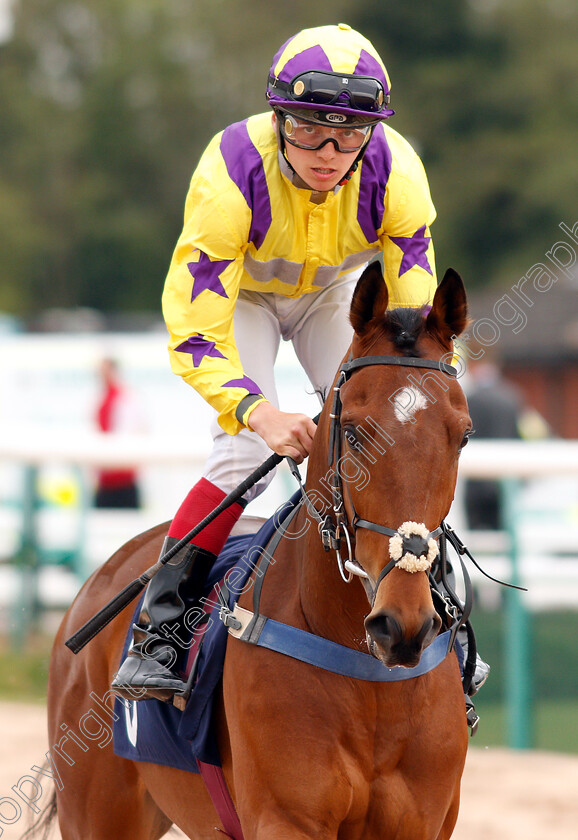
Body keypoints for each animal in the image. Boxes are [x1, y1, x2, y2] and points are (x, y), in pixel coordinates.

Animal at [44, 264, 468, 840]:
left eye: (463, 436)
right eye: (354, 433)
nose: (402, 624)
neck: (367, 671)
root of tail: (105, 574)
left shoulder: (420, 822)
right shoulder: (285, 817)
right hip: (97, 810)